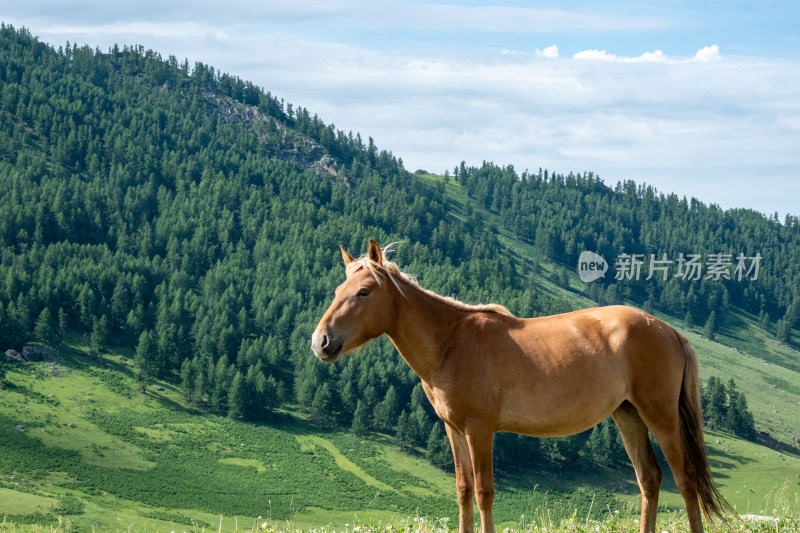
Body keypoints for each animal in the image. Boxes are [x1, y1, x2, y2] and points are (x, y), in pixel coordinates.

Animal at [310, 239, 732, 528]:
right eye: (337, 292)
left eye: (364, 291)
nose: (321, 342)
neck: (452, 342)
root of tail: (669, 330)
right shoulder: (454, 430)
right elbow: (463, 491)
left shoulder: (480, 430)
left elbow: (484, 493)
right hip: (628, 416)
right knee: (650, 479)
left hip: (661, 417)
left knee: (685, 479)